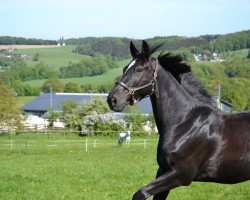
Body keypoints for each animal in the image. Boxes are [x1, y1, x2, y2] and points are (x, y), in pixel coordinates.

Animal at [106, 41, 249, 200]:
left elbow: (140, 193)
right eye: (125, 68)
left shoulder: (181, 175)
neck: (185, 123)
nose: (113, 99)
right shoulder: (163, 170)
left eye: (139, 69)